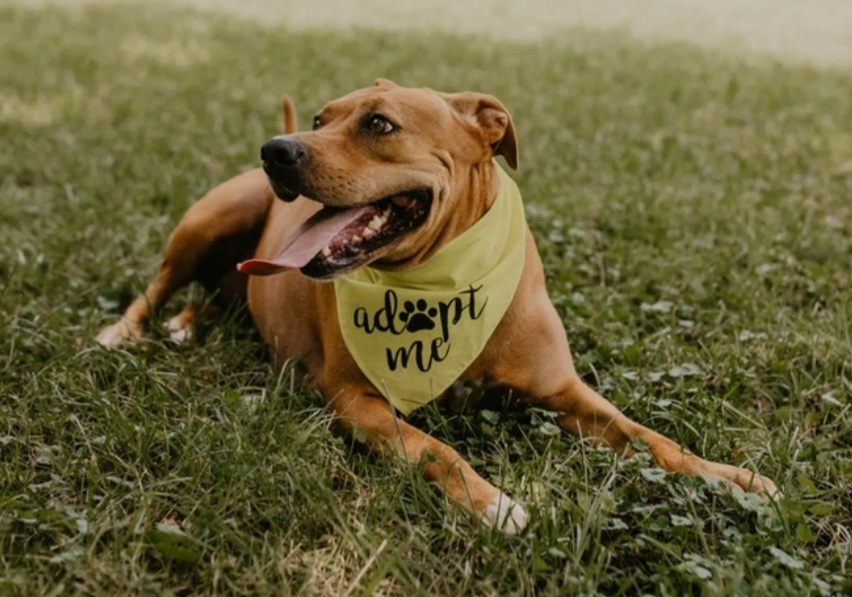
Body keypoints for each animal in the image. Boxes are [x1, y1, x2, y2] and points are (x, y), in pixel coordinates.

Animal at [98, 80, 780, 536]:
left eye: (379, 124)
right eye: (321, 117)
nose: (277, 150)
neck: (441, 282)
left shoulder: (565, 392)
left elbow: (652, 438)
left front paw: (731, 478)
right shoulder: (356, 400)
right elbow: (433, 447)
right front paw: (492, 502)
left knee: (214, 296)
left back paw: (187, 325)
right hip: (211, 219)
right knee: (160, 285)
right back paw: (125, 334)